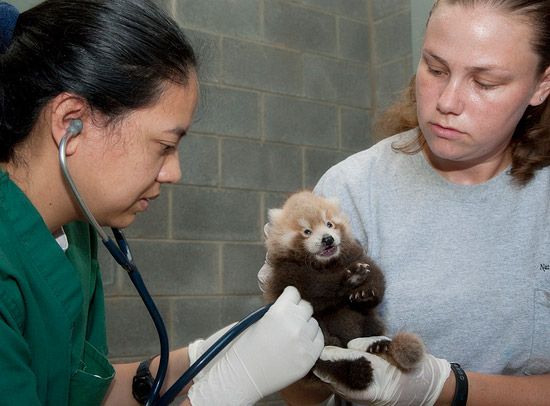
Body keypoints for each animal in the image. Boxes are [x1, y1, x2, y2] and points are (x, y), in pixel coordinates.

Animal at [264, 192, 426, 392]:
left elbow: (375, 274)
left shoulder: (355, 253)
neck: (327, 264)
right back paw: (355, 370)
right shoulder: (288, 274)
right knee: (326, 361)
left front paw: (365, 293)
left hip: (369, 321)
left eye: (329, 224)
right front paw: (349, 279)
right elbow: (316, 289)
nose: (327, 239)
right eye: (307, 231)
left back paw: (376, 345)